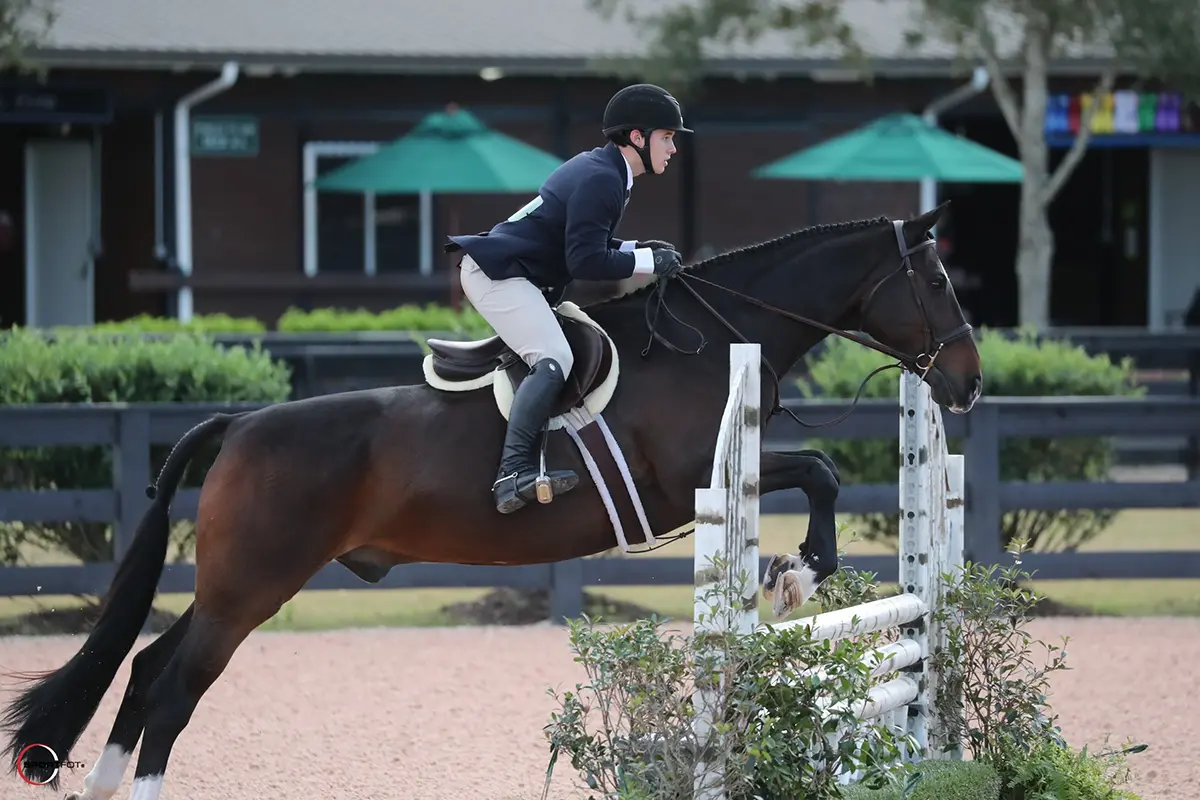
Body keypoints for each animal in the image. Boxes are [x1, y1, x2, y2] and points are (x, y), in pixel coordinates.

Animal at [2, 202, 981, 800]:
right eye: (936, 283)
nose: (968, 383)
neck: (715, 339)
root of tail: (240, 424)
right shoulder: (687, 482)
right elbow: (818, 470)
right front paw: (798, 573)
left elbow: (819, 471)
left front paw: (792, 571)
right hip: (250, 586)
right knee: (172, 688)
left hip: (235, 588)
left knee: (144, 669)